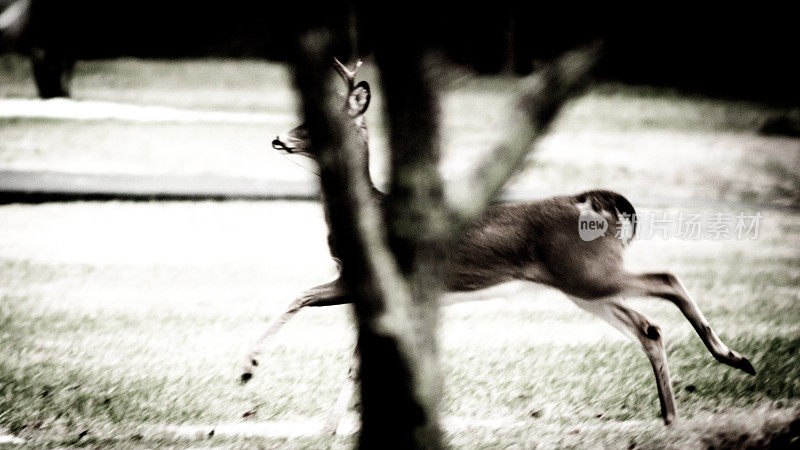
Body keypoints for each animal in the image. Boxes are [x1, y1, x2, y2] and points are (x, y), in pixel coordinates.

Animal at [244, 58, 756, 430]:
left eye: (318, 122)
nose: (277, 139)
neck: (373, 209)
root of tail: (600, 202)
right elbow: (352, 357)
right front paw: (327, 428)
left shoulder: (362, 276)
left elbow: (303, 300)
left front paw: (249, 369)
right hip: (579, 285)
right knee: (648, 325)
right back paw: (671, 415)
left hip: (587, 272)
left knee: (666, 278)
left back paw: (730, 358)